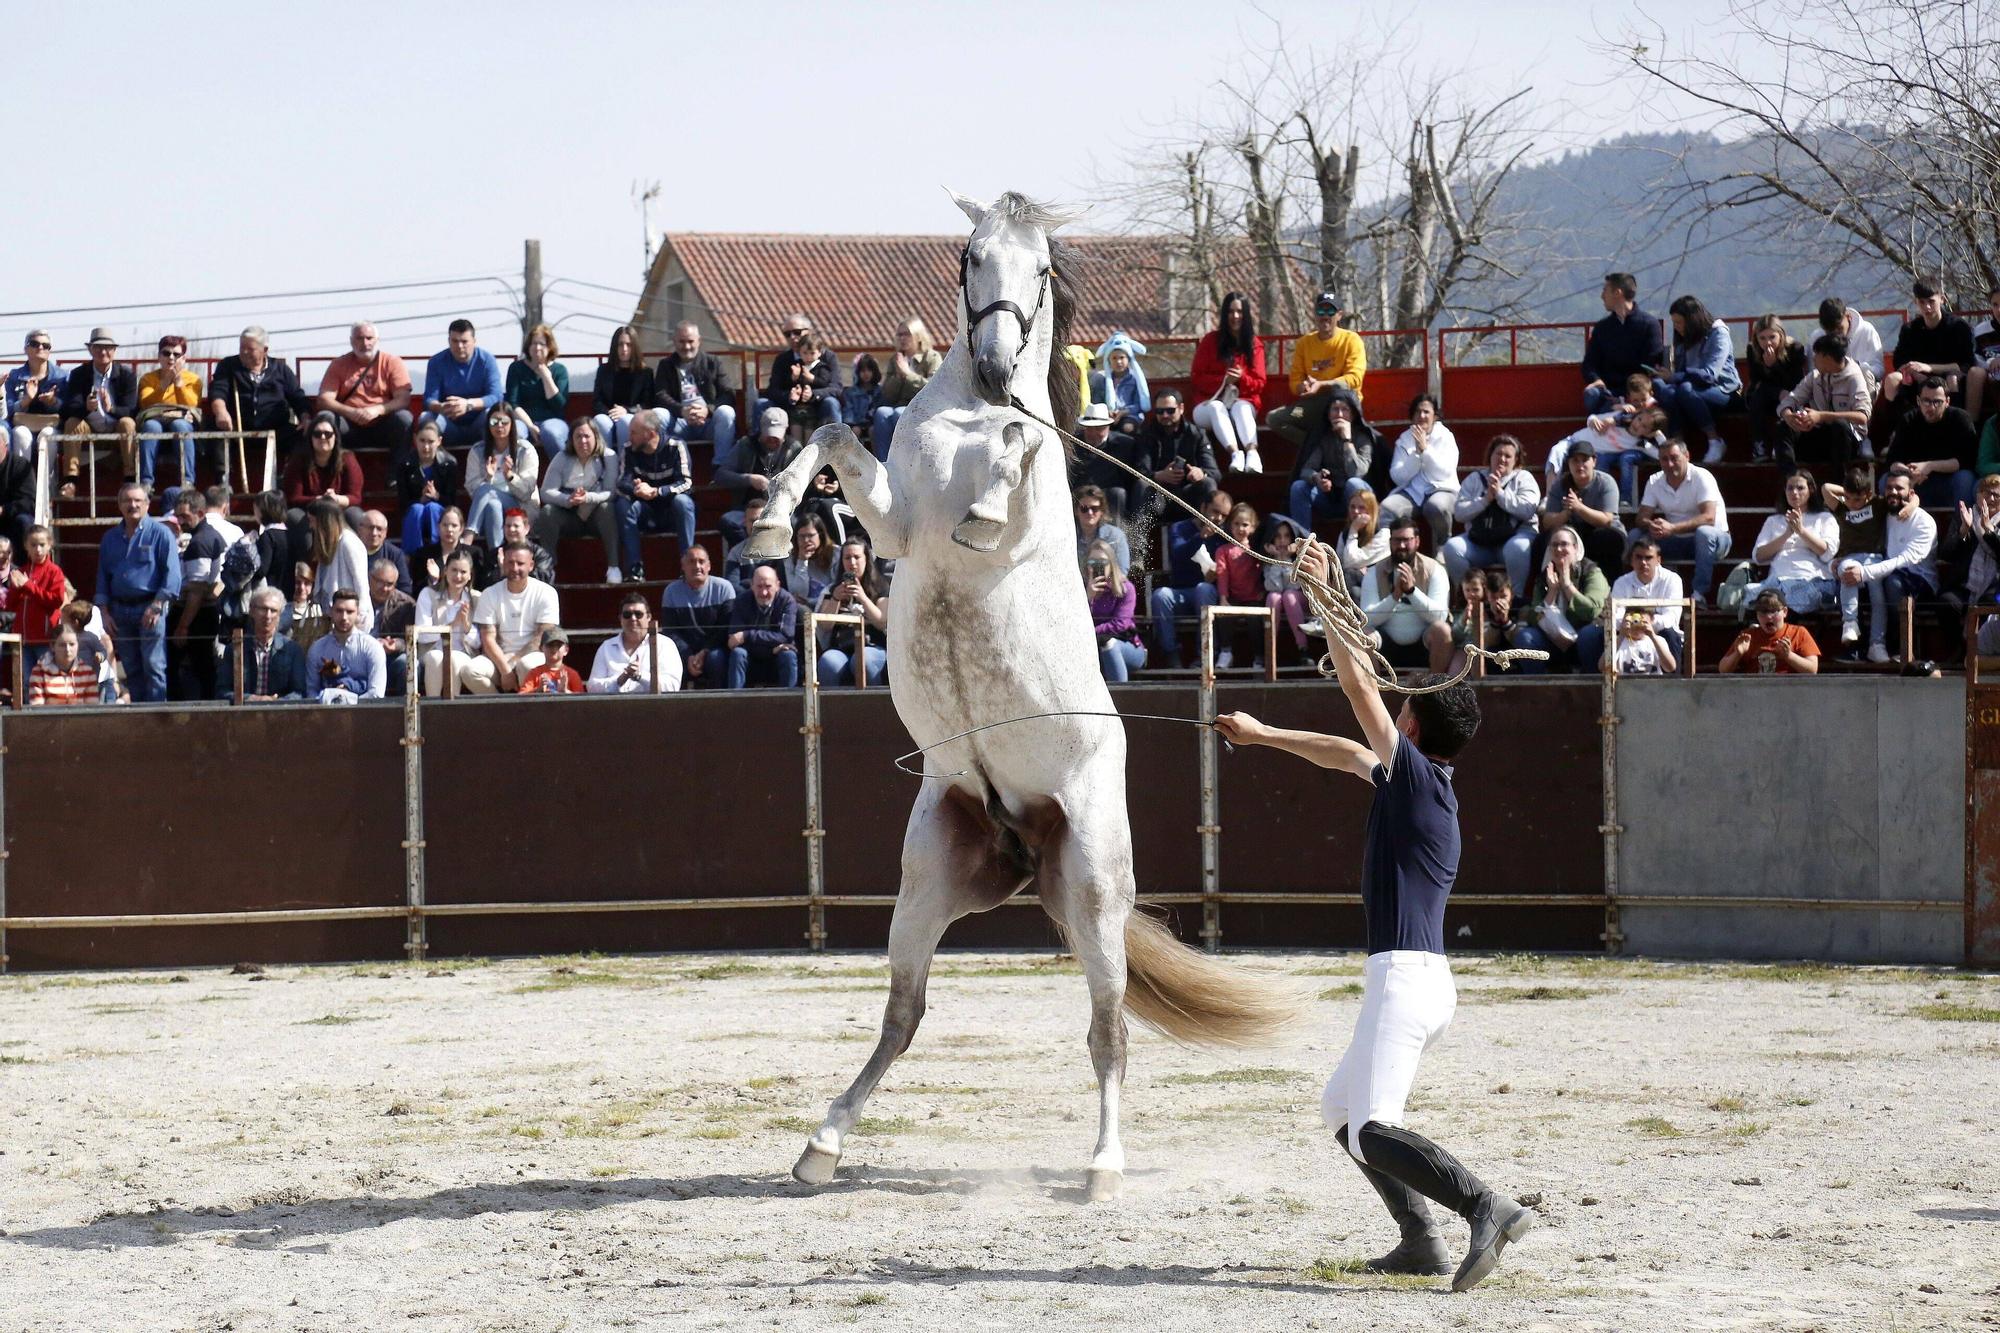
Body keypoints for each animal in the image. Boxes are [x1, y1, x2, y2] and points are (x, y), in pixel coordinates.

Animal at [748, 187, 1296, 1192]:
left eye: (1039, 271)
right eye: (970, 257)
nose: (999, 365)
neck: (970, 411)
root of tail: (1022, 839)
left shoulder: (1011, 506)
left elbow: (1026, 448)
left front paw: (988, 496)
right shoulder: (894, 526)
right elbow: (833, 431)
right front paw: (770, 522)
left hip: (1093, 891)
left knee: (1109, 1030)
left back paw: (1102, 1167)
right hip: (930, 883)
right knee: (904, 1015)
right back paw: (821, 1144)